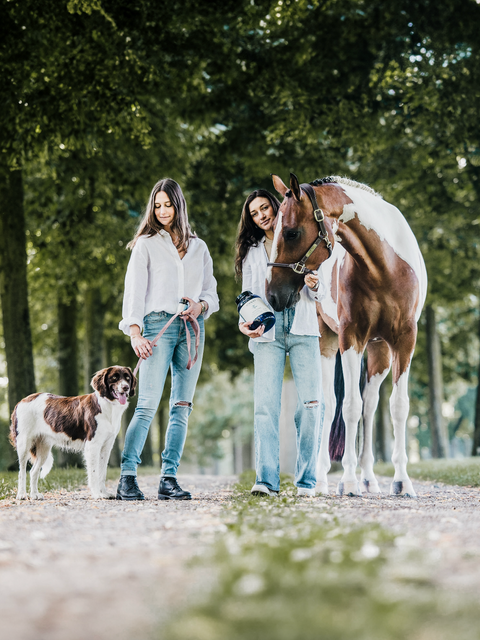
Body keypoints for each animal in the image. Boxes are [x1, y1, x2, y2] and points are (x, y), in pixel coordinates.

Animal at [266, 173, 427, 497]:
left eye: (290, 233)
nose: (272, 294)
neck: (385, 266)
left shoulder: (405, 341)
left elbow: (397, 407)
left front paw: (402, 481)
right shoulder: (351, 338)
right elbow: (350, 407)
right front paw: (348, 481)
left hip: (379, 352)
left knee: (371, 405)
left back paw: (369, 478)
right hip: (328, 343)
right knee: (330, 404)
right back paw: (323, 479)